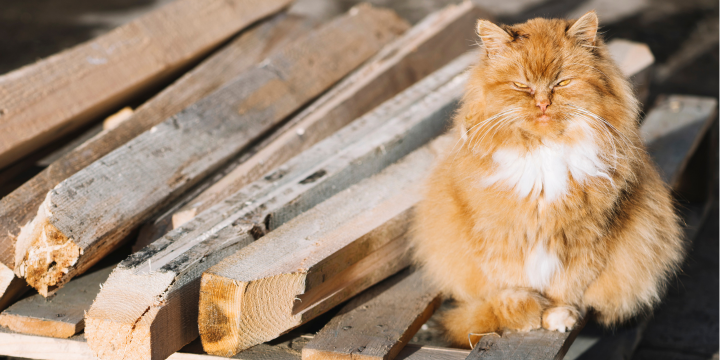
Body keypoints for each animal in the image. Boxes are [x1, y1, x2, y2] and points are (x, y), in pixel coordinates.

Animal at [410, 10, 688, 346]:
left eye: (562, 82)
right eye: (521, 86)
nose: (543, 103)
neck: (544, 151)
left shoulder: (585, 239)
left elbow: (565, 287)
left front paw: (558, 316)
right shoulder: (499, 233)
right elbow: (512, 283)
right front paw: (525, 313)